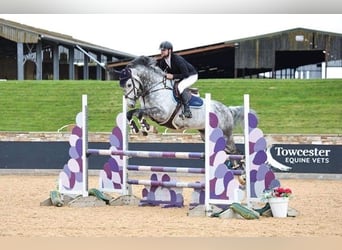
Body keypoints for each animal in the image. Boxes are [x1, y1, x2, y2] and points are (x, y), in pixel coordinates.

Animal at [119, 55, 250, 155]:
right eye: (122, 86)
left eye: (129, 85)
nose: (130, 103)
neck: (155, 87)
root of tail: (227, 109)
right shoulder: (151, 112)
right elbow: (132, 113)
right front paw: (137, 128)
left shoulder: (161, 113)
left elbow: (139, 113)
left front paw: (144, 127)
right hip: (206, 134)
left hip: (226, 135)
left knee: (236, 152)